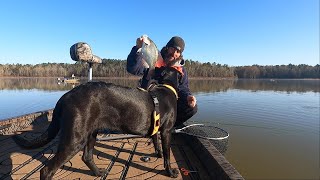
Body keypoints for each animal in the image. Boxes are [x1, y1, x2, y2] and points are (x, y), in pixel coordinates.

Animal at [13, 67, 180, 179]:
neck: (166, 87)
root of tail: (65, 96)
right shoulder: (167, 131)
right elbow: (167, 156)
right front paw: (170, 172)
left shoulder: (158, 129)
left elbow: (156, 141)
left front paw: (157, 153)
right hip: (75, 139)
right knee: (47, 170)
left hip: (91, 133)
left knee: (86, 157)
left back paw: (98, 172)